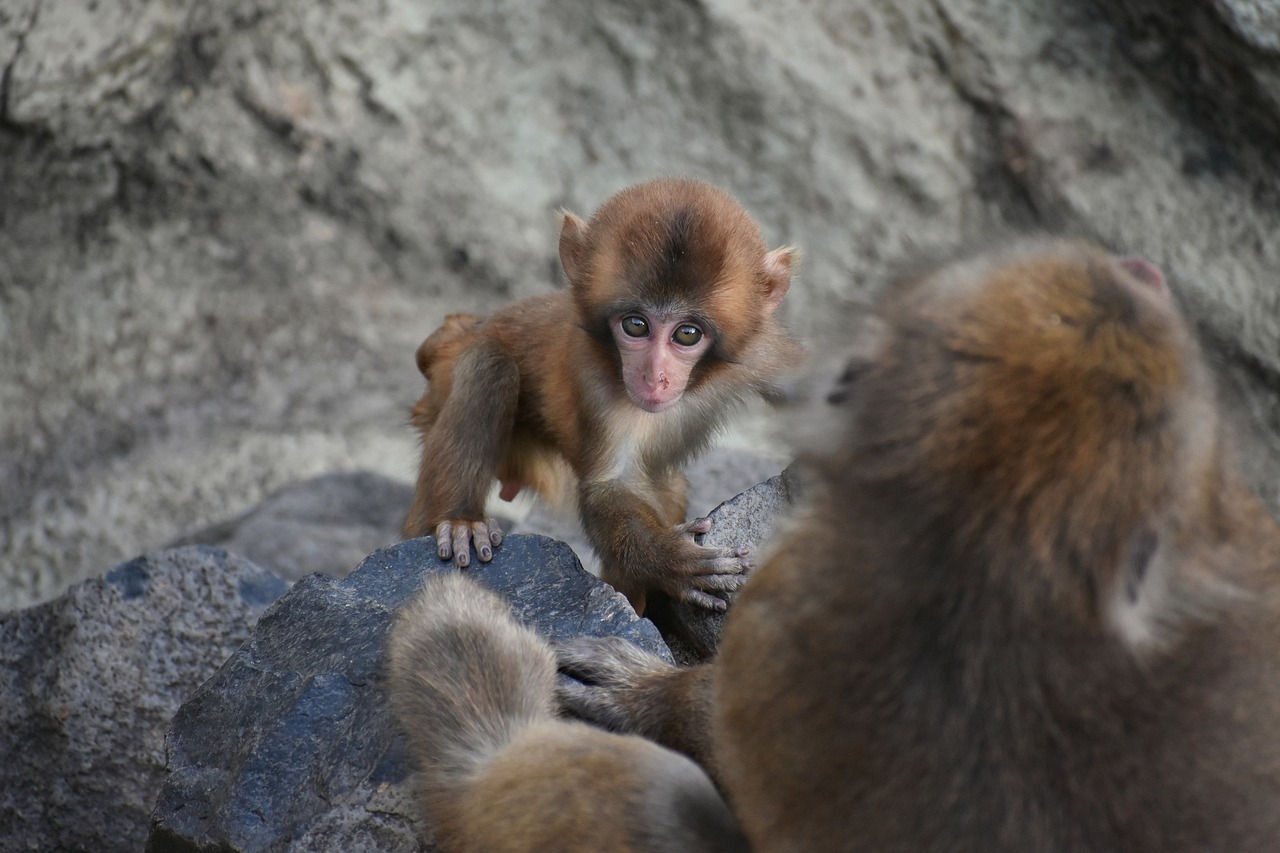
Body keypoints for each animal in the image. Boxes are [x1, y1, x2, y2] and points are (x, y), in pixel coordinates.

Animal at [401, 175, 798, 612]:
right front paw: (668, 559)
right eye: (636, 325)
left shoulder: (763, 348)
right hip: (443, 379)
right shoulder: (594, 375)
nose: (655, 377)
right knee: (488, 362)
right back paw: (459, 521)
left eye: (687, 334)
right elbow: (610, 485)